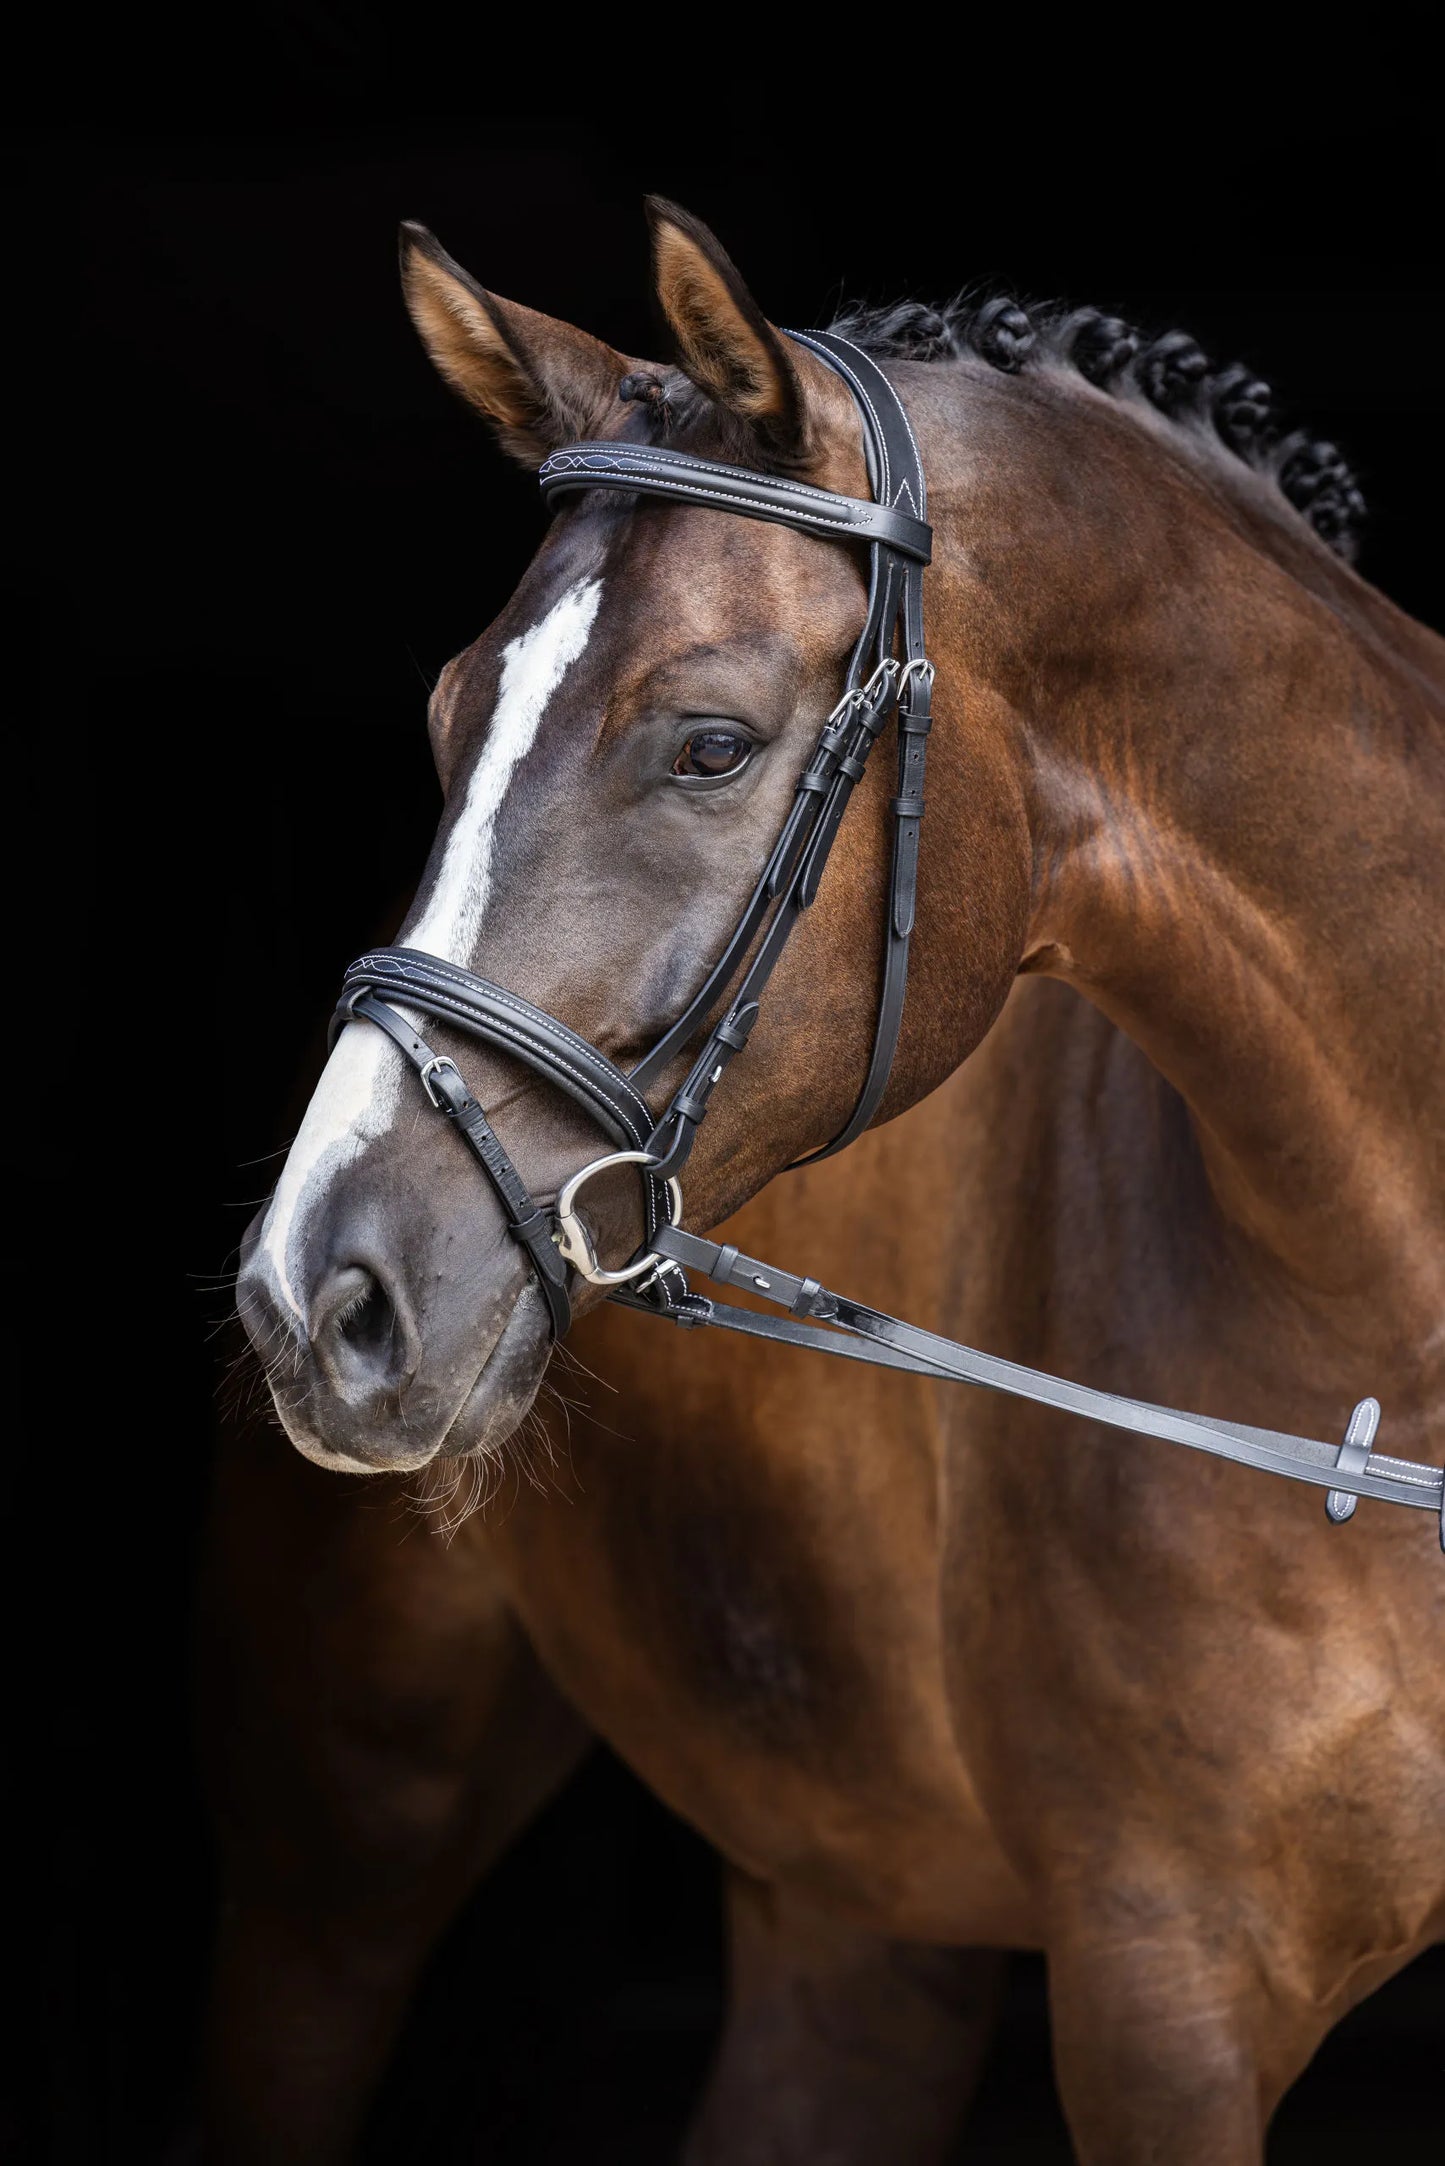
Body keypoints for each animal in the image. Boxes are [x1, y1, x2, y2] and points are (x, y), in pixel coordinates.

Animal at [217, 198, 1445, 2163]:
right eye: (447, 717)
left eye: (710, 742)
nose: (312, 1295)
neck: (1377, 1382)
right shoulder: (1162, 1986)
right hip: (347, 1838)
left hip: (856, 1904)